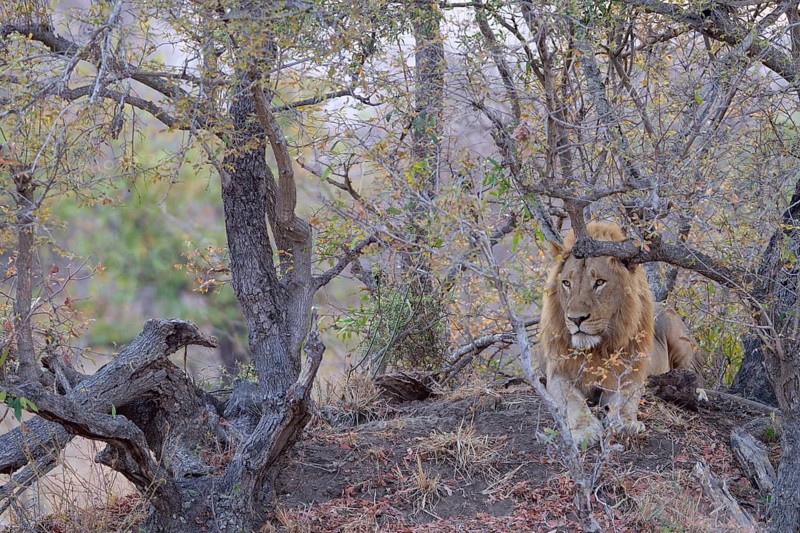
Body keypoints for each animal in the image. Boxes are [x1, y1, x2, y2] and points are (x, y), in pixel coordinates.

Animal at [538, 221, 702, 445]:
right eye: (566, 283)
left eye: (599, 282)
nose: (576, 319)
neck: (596, 348)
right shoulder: (558, 374)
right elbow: (573, 400)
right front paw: (586, 430)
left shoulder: (628, 375)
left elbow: (626, 399)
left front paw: (625, 423)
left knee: (694, 374)